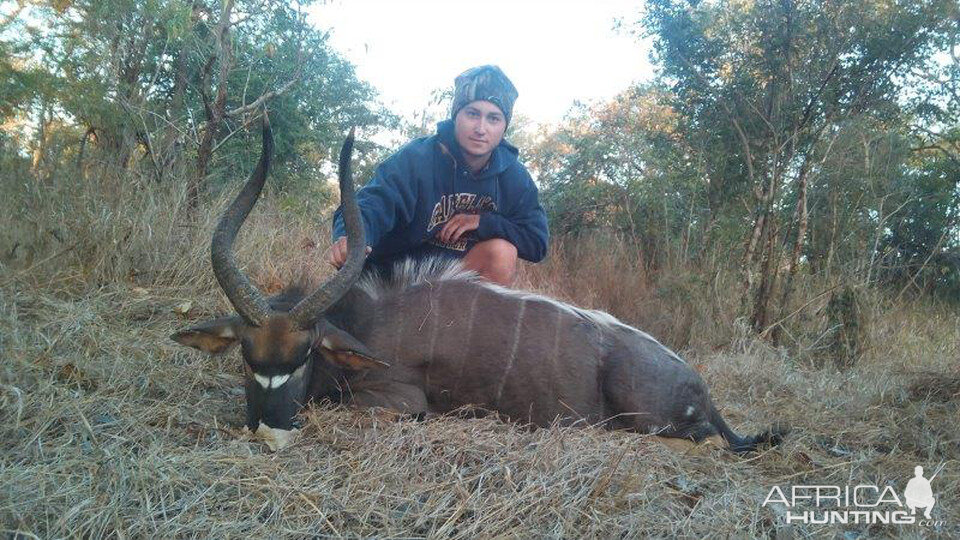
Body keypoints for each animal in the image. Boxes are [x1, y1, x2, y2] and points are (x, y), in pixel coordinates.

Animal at [172, 117, 784, 452]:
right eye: (247, 356)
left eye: (303, 356)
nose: (270, 431)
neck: (366, 319)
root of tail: (701, 389)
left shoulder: (400, 400)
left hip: (649, 423)